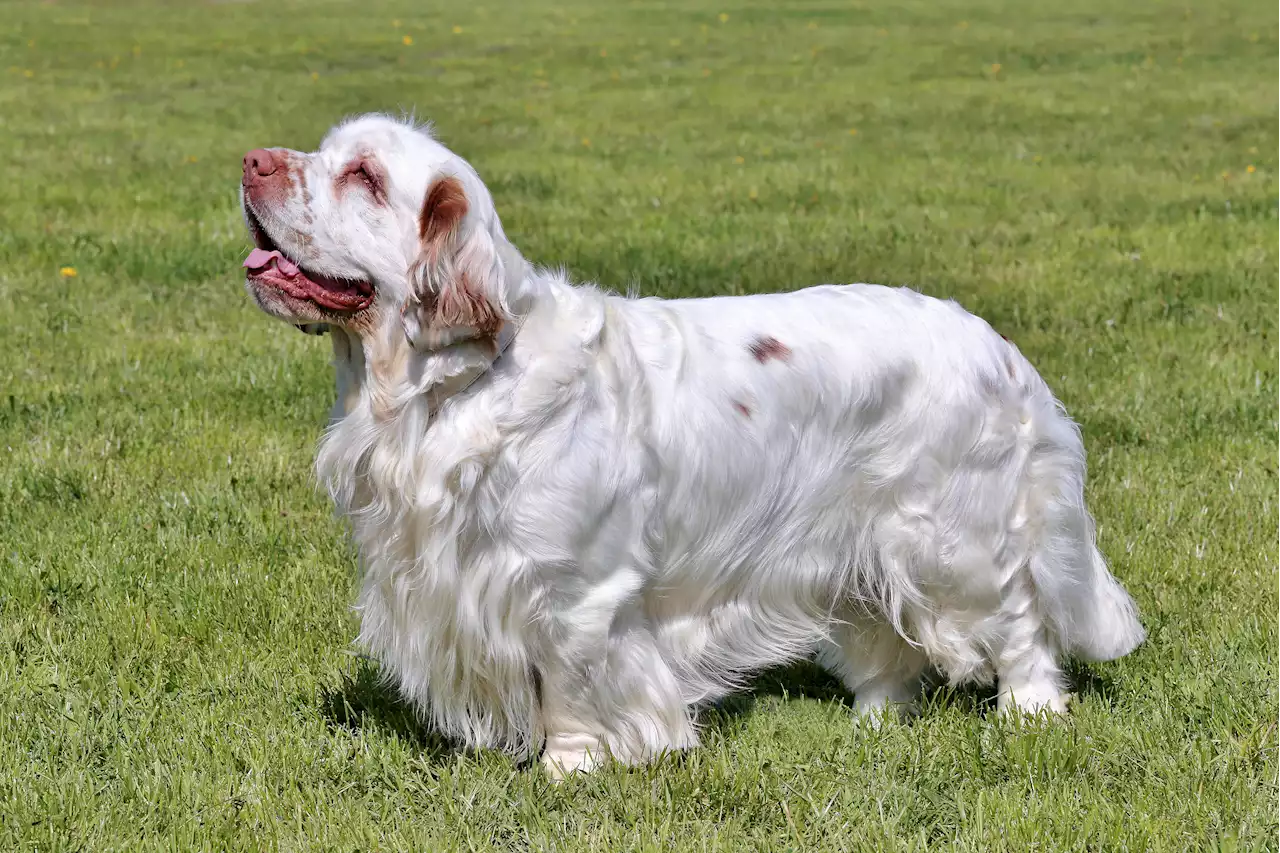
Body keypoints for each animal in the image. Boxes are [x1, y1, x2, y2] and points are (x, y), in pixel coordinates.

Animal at [235, 114, 1146, 778]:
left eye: (363, 176)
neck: (450, 388)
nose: (250, 161)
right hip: (856, 539)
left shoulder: (575, 591)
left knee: (1020, 617)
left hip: (952, 537)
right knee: (884, 634)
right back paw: (874, 720)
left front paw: (569, 770)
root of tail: (999, 346)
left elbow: (568, 685)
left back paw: (1032, 708)